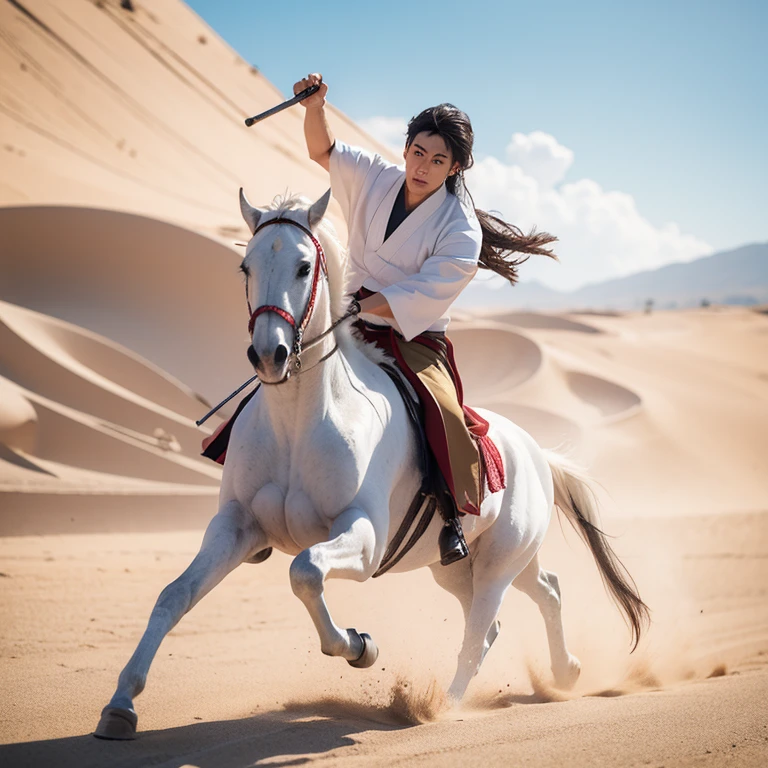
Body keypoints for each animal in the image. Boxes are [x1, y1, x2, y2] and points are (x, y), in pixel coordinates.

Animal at [94, 190, 648, 736]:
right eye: (245, 266)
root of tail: (536, 453)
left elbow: (305, 572)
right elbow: (174, 595)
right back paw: (565, 671)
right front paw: (121, 704)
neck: (298, 422)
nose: (269, 355)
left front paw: (360, 646)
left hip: (497, 563)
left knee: (480, 630)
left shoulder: (363, 539)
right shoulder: (236, 527)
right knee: (536, 596)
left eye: (303, 267)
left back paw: (442, 705)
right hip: (467, 565)